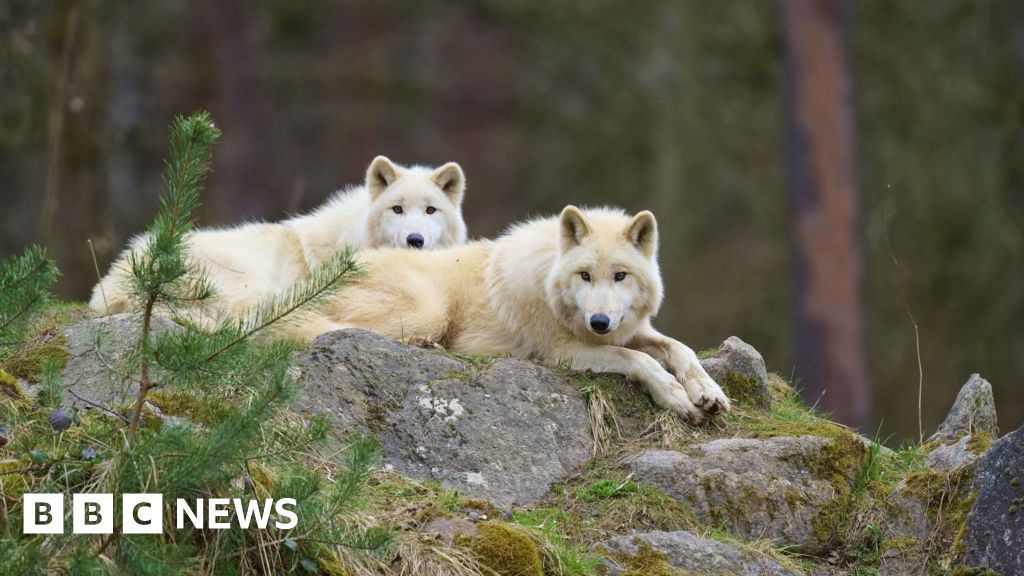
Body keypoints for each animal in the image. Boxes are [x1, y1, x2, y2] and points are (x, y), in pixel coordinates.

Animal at [290, 206, 730, 423]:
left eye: (620, 276)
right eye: (585, 275)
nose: (599, 322)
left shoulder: (627, 330)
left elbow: (680, 349)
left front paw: (708, 391)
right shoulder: (562, 352)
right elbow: (638, 359)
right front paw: (675, 397)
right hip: (427, 309)